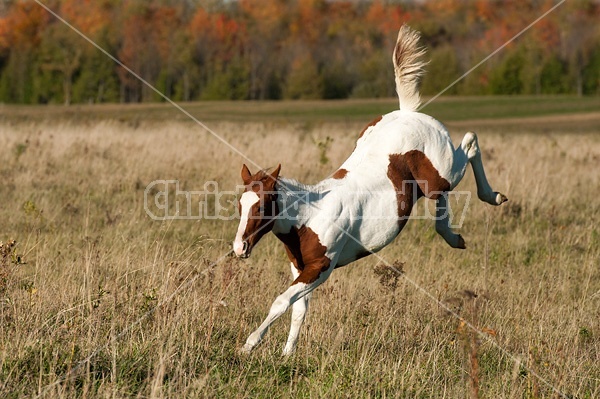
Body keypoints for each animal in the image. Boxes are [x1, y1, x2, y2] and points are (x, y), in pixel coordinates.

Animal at [233, 25, 506, 356]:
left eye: (261, 207)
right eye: (240, 206)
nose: (239, 248)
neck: (309, 216)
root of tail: (408, 112)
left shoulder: (323, 266)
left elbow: (282, 302)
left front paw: (248, 345)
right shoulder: (299, 268)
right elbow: (299, 308)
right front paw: (287, 355)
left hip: (443, 173)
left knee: (470, 144)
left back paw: (491, 198)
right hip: (432, 183)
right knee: (446, 193)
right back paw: (453, 236)